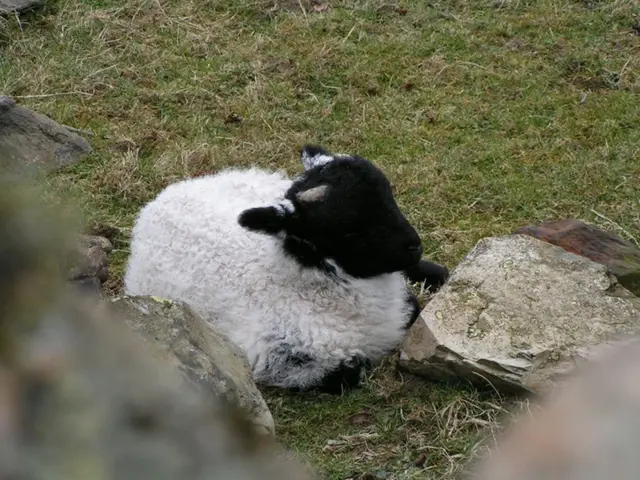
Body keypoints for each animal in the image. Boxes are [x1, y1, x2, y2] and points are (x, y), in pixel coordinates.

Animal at [123, 144, 449, 394]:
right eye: (349, 230)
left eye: (389, 197)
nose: (414, 246)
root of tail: (162, 198)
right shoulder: (273, 356)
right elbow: (349, 373)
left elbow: (414, 306)